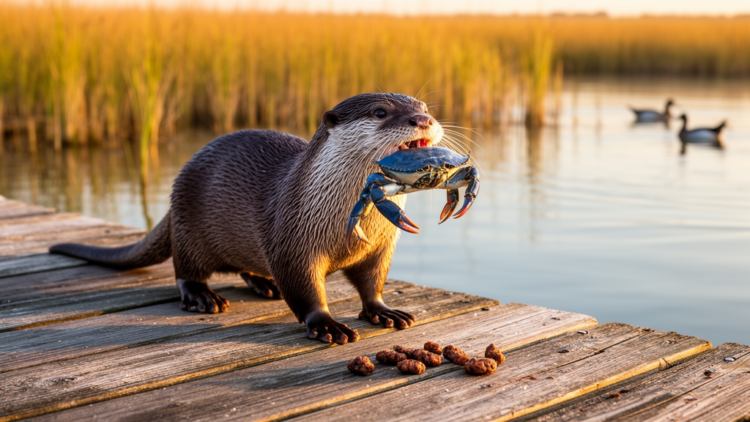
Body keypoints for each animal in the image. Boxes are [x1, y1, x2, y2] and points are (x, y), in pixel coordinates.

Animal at [50, 93, 444, 345]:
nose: (423, 120)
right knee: (184, 269)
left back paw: (264, 284)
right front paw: (328, 325)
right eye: (380, 112)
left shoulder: (381, 246)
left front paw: (385, 311)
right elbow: (305, 289)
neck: (342, 223)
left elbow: (372, 282)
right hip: (189, 227)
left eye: (424, 107)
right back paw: (202, 296)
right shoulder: (292, 239)